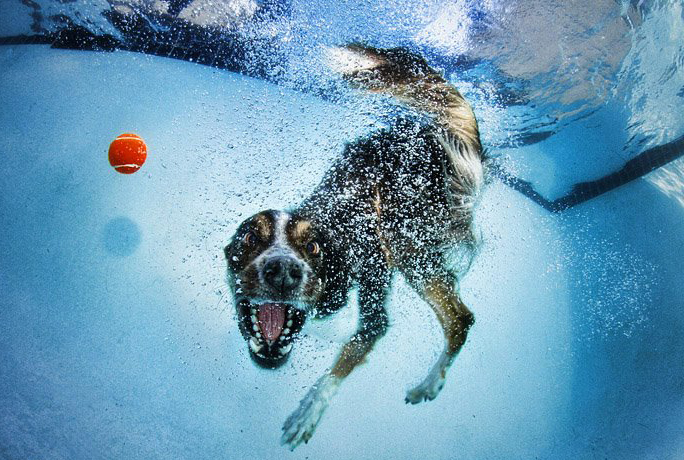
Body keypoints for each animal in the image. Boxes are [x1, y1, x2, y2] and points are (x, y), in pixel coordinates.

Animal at [224, 44, 486, 450]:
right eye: (251, 237)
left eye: (312, 247)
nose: (283, 270)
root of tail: (436, 133)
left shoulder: (374, 306)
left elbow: (344, 360)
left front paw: (309, 410)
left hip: (406, 241)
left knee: (460, 318)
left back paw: (430, 383)